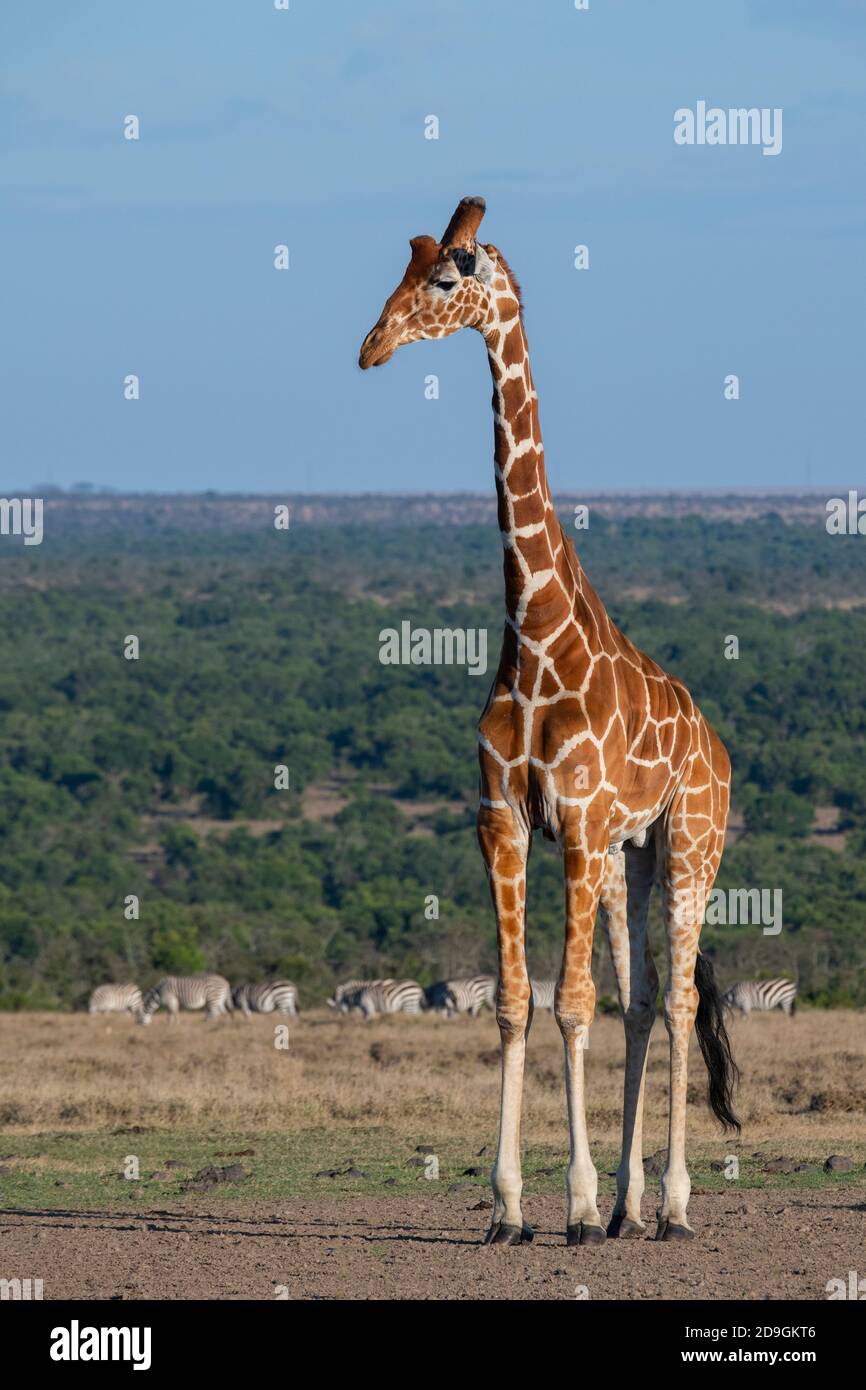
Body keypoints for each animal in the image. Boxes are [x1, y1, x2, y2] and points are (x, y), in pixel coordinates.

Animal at [359, 197, 738, 1245]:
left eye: (449, 274)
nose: (371, 346)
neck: (531, 629)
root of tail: (719, 745)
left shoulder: (571, 823)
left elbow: (571, 1004)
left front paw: (568, 1203)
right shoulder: (505, 822)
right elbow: (514, 1004)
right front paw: (509, 1208)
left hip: (690, 844)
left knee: (677, 997)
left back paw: (673, 1206)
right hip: (628, 857)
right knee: (644, 1000)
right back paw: (630, 1208)